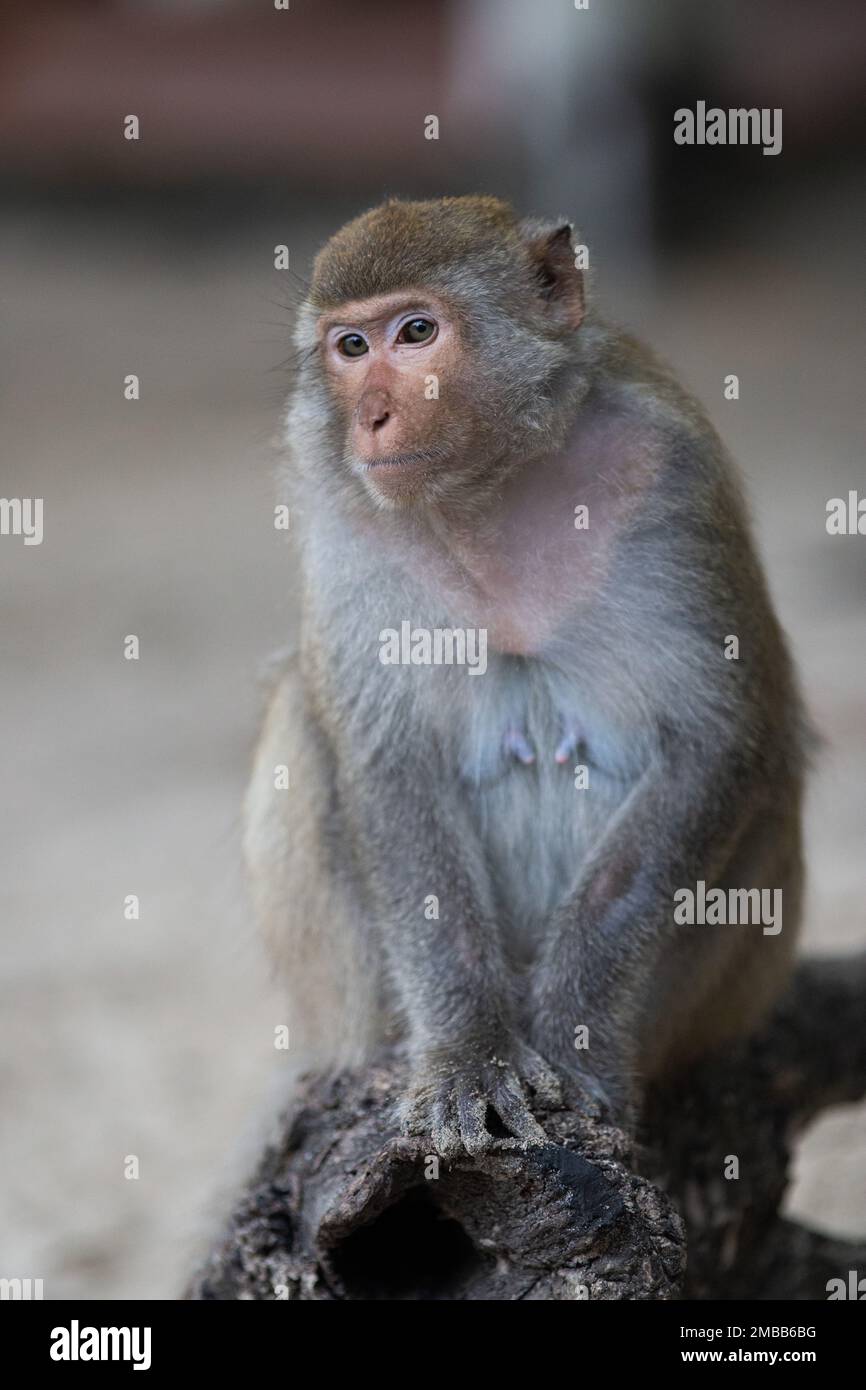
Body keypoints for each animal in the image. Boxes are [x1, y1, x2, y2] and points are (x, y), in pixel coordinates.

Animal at [241, 193, 806, 1150]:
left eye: (416, 332)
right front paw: (469, 1055)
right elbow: (388, 767)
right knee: (299, 722)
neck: (489, 492)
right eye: (350, 347)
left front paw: (574, 1041)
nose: (372, 418)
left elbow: (720, 744)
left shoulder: (671, 468)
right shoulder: (346, 516)